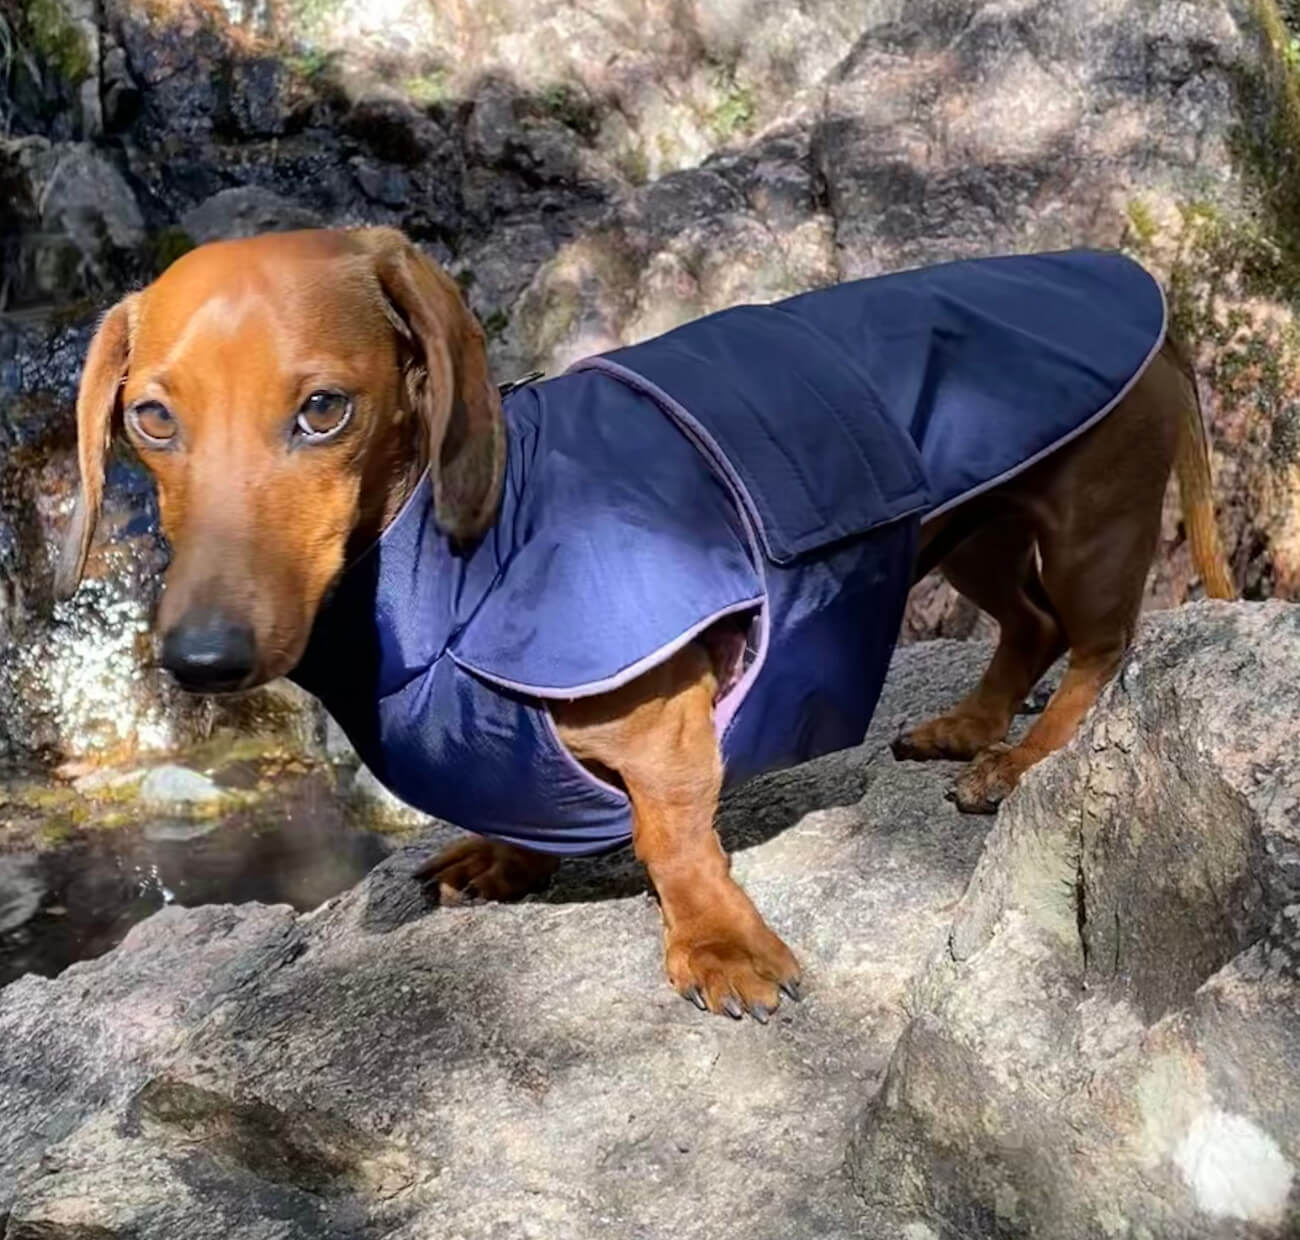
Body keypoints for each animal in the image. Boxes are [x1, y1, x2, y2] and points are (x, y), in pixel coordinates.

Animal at [58, 227, 1237, 1019]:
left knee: (1099, 646)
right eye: (149, 418)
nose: (200, 660)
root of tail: (1148, 295)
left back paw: (1021, 760)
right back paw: (969, 726)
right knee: (1030, 627)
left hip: (1089, 519)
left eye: (323, 410)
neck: (455, 574)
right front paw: (504, 859)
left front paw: (718, 945)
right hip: (967, 530)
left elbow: (671, 838)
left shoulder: (667, 721)